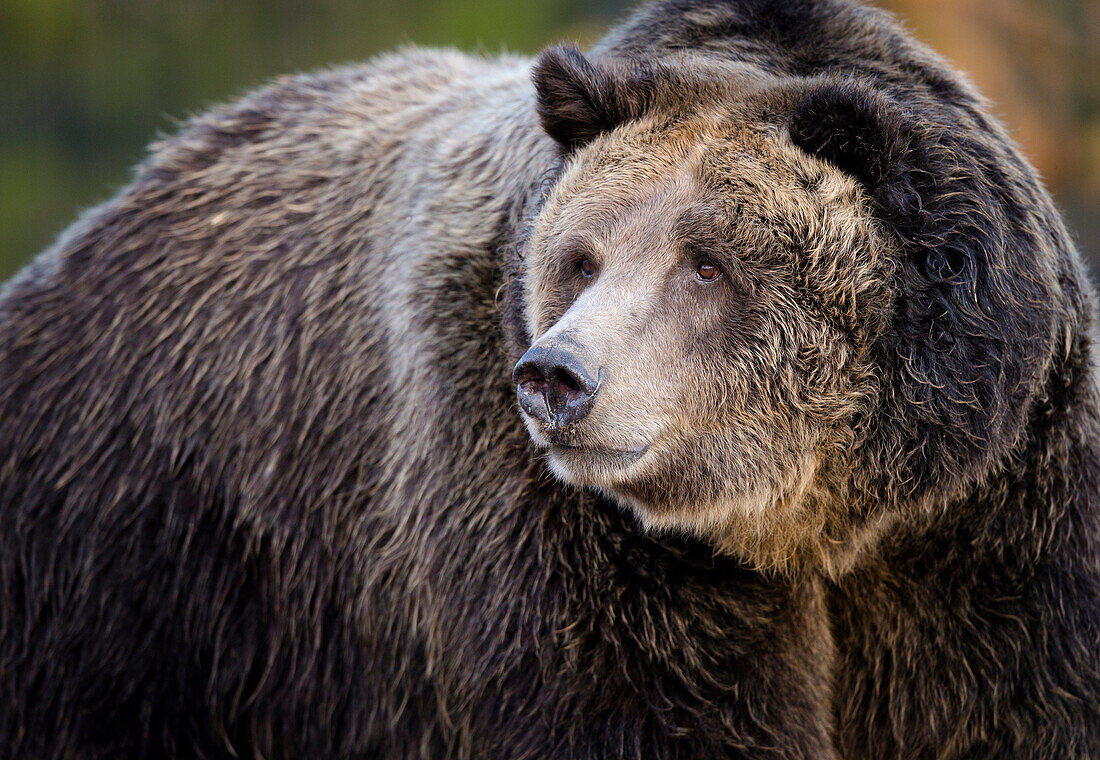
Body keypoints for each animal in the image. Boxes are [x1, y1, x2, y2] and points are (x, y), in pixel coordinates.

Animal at [2, 4, 1100, 760]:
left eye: (706, 262)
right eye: (580, 257)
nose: (557, 377)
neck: (814, 515)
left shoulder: (988, 515)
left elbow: (1013, 703)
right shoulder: (557, 524)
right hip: (145, 564)